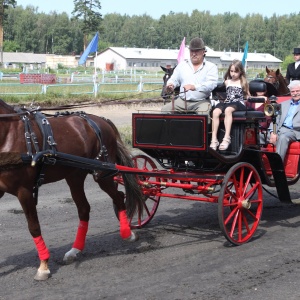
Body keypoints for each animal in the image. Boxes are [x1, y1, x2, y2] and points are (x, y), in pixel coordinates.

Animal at [0, 99, 143, 280]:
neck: (7, 134)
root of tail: (102, 120)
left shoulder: (24, 190)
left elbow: (34, 226)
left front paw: (43, 266)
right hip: (75, 176)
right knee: (84, 208)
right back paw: (75, 250)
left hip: (102, 173)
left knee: (118, 197)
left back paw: (127, 233)